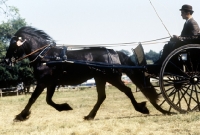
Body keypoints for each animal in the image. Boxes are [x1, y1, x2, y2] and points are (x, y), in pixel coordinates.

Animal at [4, 26, 169, 121]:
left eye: (13, 44)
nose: (6, 61)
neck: (46, 56)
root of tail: (113, 52)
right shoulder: (51, 83)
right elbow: (48, 100)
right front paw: (65, 107)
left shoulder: (43, 82)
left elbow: (32, 99)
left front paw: (21, 116)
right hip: (100, 78)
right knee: (102, 96)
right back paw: (90, 115)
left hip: (111, 78)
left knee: (127, 91)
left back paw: (141, 108)